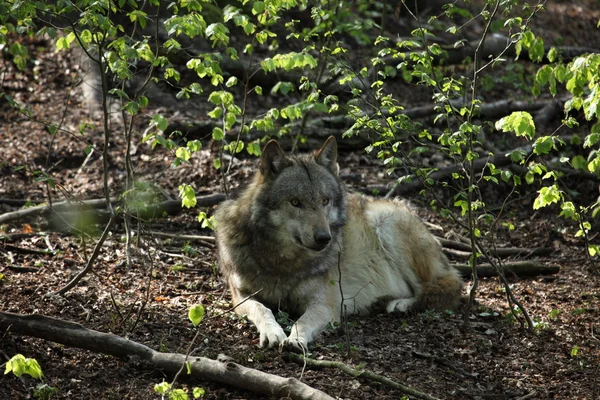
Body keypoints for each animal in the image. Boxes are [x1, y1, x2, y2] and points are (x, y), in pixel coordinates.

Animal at [213, 137, 462, 350]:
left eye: (325, 201)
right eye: (295, 202)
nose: (324, 238)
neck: (283, 261)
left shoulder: (324, 304)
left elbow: (302, 321)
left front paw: (295, 339)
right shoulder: (240, 296)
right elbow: (263, 309)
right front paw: (273, 332)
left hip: (385, 222)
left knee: (447, 287)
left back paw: (401, 304)